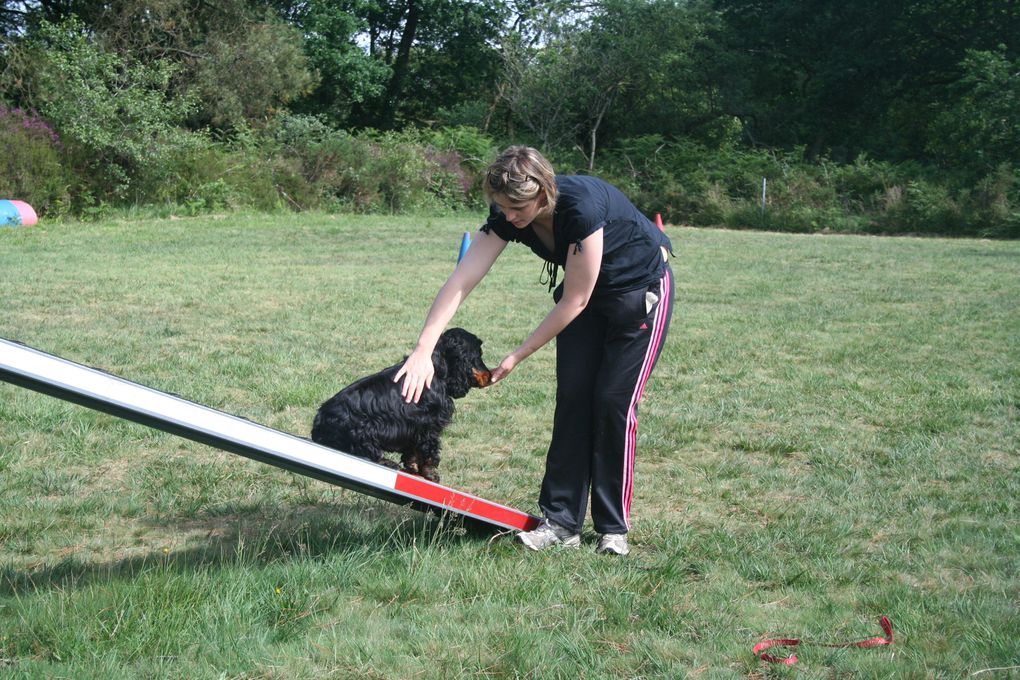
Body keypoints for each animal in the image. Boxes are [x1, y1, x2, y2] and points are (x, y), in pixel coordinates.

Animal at [312, 328, 491, 483]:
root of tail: (318, 424)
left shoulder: (415, 424)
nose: (490, 376)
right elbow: (429, 449)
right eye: (478, 355)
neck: (436, 370)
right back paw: (388, 463)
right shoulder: (429, 422)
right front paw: (431, 473)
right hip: (361, 429)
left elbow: (413, 449)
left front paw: (413, 467)